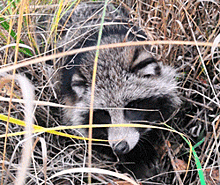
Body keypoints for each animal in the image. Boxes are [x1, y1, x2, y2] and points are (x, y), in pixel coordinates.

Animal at [54, 1, 179, 179]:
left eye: (131, 106)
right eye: (104, 113)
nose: (120, 147)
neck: (105, 51)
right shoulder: (70, 103)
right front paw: (134, 158)